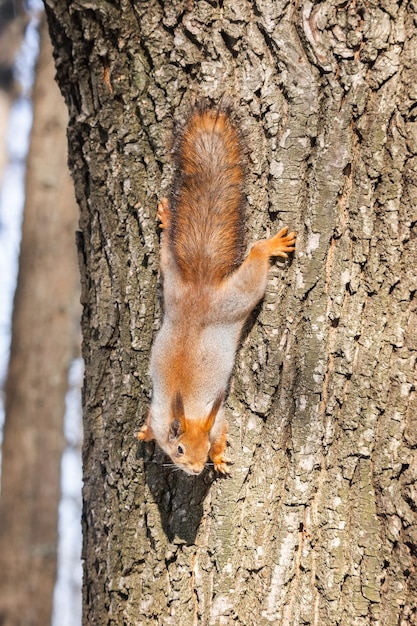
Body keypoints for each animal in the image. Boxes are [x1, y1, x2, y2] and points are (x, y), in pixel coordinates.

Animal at [136, 101, 296, 472]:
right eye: (179, 449)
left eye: (205, 444)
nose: (196, 469)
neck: (188, 410)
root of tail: (200, 287)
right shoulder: (160, 412)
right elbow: (151, 424)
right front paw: (145, 433)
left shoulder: (216, 415)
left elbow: (222, 431)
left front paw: (220, 458)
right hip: (177, 282)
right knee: (168, 252)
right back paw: (167, 219)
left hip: (234, 297)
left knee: (255, 258)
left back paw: (269, 246)